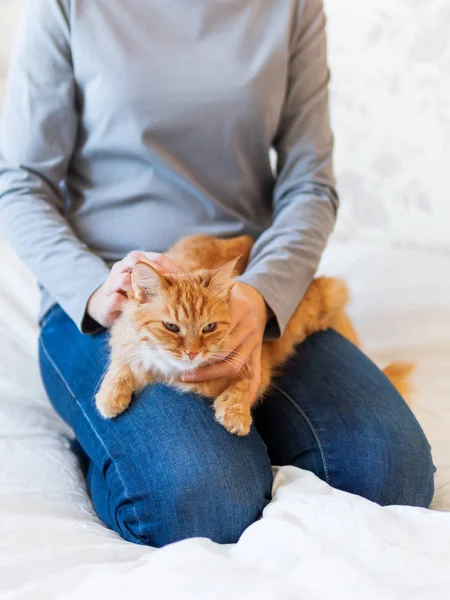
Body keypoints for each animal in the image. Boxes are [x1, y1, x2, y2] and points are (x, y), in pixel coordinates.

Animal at [97, 234, 412, 436]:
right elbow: (120, 366)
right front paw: (109, 397)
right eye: (171, 327)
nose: (192, 352)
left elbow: (242, 385)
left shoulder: (257, 362)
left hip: (331, 293)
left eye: (209, 328)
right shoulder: (125, 342)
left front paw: (235, 415)